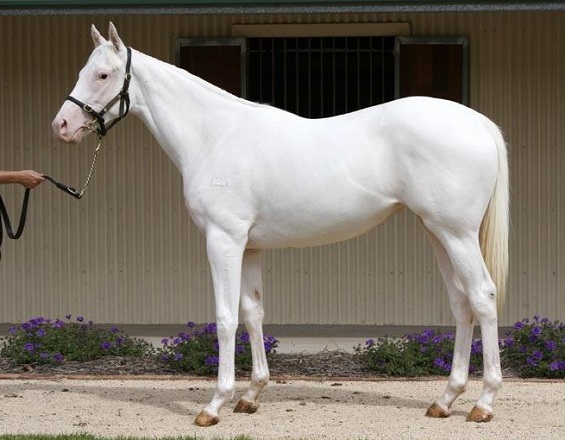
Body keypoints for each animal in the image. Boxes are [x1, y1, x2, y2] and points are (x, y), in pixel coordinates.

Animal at [53, 23, 508, 426]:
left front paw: (214, 405)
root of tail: (479, 123)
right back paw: (445, 400)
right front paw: (251, 395)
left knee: (483, 297)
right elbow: (253, 313)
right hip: (438, 233)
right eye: (81, 72)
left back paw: (484, 403)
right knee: (461, 304)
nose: (62, 126)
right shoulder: (249, 246)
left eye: (103, 74)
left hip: (457, 235)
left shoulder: (223, 240)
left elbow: (225, 319)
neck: (214, 135)